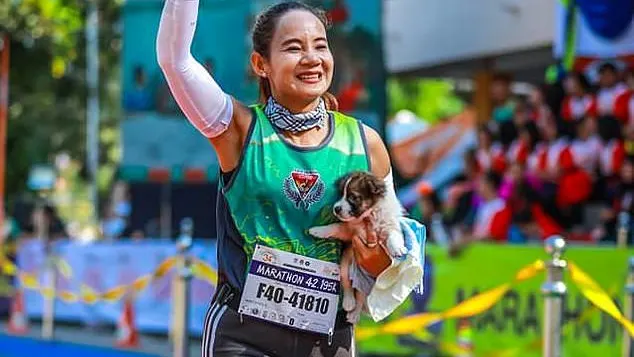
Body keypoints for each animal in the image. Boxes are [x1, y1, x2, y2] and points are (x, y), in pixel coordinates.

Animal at [308, 170, 404, 322]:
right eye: (341, 194)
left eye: (353, 197)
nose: (336, 208)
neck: (367, 216)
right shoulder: (349, 231)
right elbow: (334, 226)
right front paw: (317, 230)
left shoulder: (388, 225)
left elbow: (393, 235)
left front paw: (397, 248)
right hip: (345, 266)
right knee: (348, 285)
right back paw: (348, 303)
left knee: (360, 296)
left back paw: (354, 314)